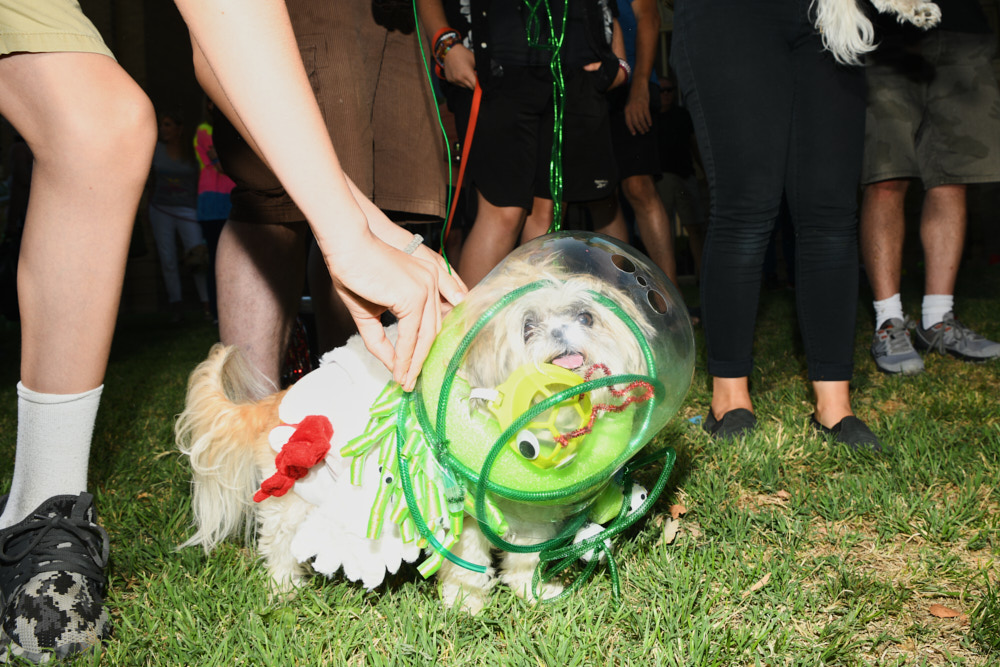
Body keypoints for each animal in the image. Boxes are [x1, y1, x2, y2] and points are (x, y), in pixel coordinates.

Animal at [178, 252, 664, 616]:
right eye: (528, 327)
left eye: (586, 316)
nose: (563, 332)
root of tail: (276, 399)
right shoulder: (461, 519)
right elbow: (468, 565)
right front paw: (466, 605)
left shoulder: (529, 519)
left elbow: (525, 559)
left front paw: (532, 593)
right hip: (292, 498)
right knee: (277, 545)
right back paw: (283, 588)